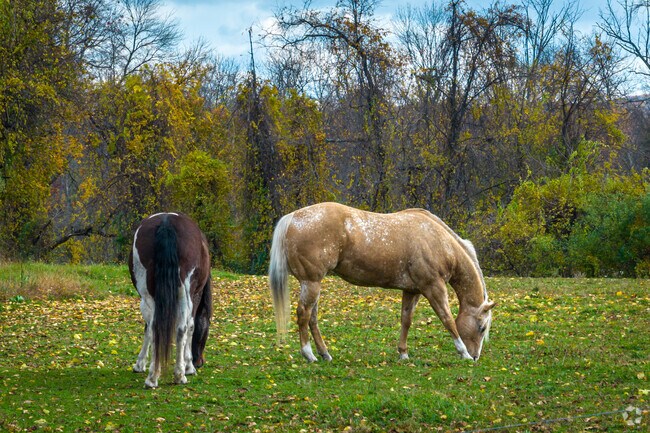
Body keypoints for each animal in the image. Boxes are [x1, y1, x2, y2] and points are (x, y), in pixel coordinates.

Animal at [128, 212, 212, 388]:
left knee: (156, 327)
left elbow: (148, 329)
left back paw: (153, 377)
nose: (200, 361)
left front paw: (140, 363)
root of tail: (167, 223)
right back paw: (178, 375)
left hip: (150, 295)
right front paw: (189, 366)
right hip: (183, 294)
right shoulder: (196, 295)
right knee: (181, 328)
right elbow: (191, 326)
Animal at [269, 202, 495, 363]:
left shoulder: (412, 290)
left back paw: (324, 354)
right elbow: (447, 319)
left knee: (312, 318)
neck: (437, 241)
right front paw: (463, 353)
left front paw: (403, 354)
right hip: (311, 282)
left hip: (313, 284)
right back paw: (309, 354)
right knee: (304, 314)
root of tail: (292, 217)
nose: (476, 357)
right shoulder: (433, 287)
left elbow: (406, 320)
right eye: (482, 327)